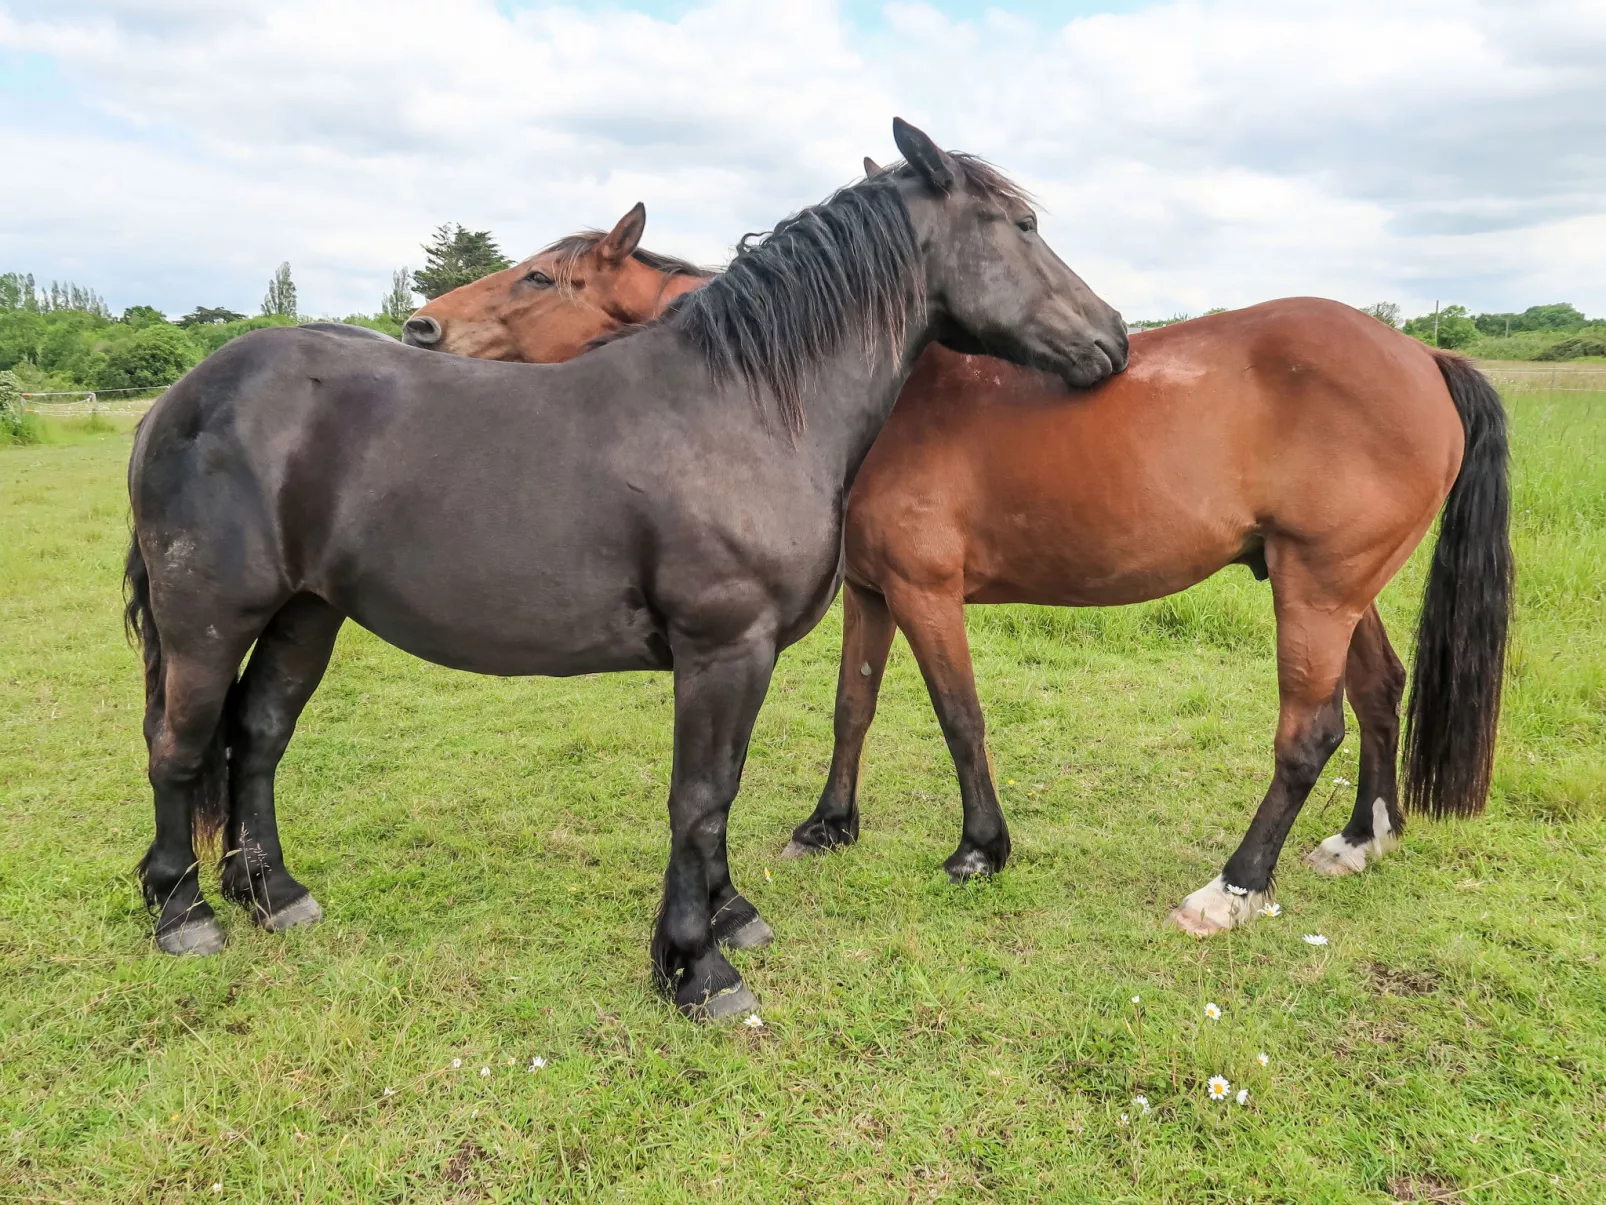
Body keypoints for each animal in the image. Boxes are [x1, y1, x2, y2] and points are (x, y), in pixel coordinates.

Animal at [783, 297, 1509, 938]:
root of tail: (1424, 355)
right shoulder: (871, 592)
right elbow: (852, 707)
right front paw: (828, 826)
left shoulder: (923, 592)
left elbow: (960, 719)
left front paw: (979, 850)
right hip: (1346, 593)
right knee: (1379, 689)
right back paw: (1362, 839)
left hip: (1318, 593)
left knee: (1310, 736)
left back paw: (1230, 891)